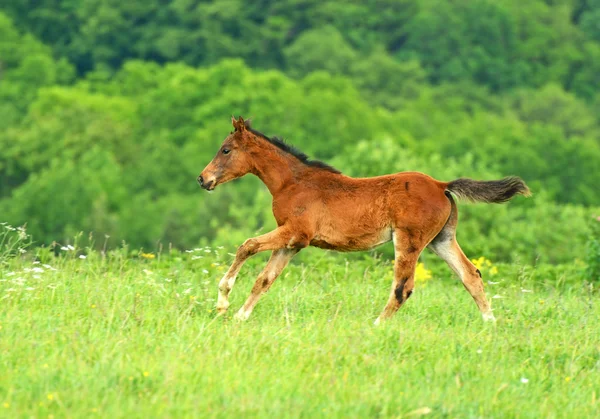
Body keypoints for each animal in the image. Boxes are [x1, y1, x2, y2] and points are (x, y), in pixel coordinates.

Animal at [198, 116, 528, 324]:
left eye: (226, 149)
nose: (203, 179)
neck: (293, 182)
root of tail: (441, 185)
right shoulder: (292, 242)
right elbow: (265, 279)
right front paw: (240, 316)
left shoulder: (295, 233)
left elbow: (247, 245)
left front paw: (223, 301)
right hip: (441, 240)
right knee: (471, 275)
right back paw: (490, 323)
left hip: (409, 240)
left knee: (403, 287)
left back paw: (377, 324)